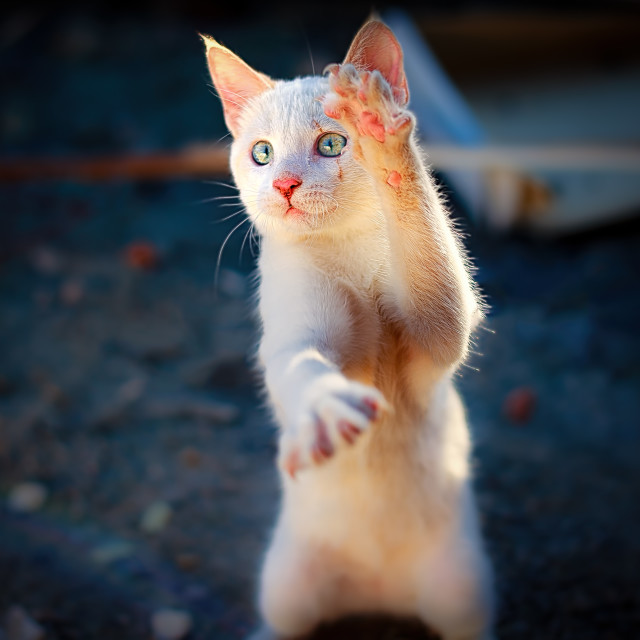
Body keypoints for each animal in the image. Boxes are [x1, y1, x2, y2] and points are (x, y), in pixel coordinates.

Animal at [204, 20, 496, 640]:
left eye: (332, 144)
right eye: (261, 153)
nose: (285, 184)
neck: (348, 250)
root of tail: (379, 592)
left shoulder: (436, 335)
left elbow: (433, 268)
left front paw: (380, 133)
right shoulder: (295, 329)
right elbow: (299, 363)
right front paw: (324, 407)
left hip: (460, 582)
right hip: (287, 578)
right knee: (287, 620)